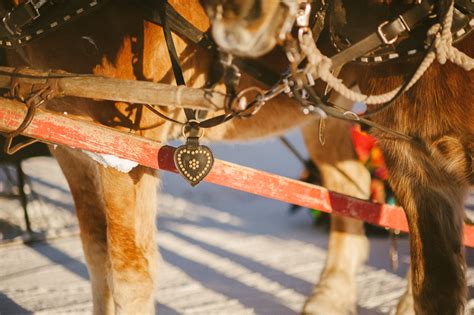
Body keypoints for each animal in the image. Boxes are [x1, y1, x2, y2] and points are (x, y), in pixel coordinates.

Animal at [4, 0, 374, 314]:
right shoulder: (70, 147)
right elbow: (97, 257)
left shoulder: (125, 149)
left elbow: (129, 270)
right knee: (350, 187)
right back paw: (331, 296)